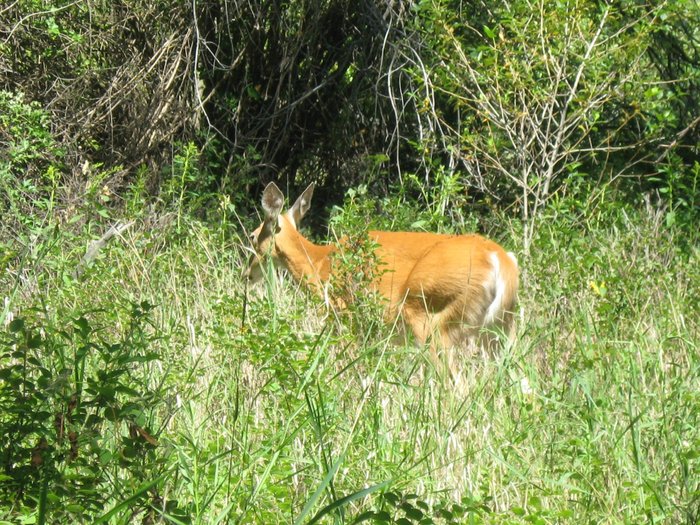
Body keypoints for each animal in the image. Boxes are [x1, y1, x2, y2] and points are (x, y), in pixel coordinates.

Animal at [243, 182, 516, 374]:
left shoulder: (346, 317)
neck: (319, 263)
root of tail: (499, 260)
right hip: (500, 329)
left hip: (434, 320)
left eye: (252, 237)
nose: (246, 274)